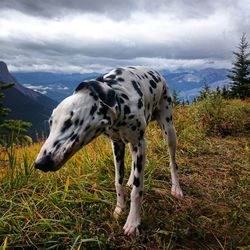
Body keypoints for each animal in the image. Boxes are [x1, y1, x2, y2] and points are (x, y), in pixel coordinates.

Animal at [34, 66, 184, 234]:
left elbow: (137, 189)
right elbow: (118, 181)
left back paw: (176, 188)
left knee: (172, 162)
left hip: (168, 130)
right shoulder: (117, 145)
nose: (40, 163)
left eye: (70, 121)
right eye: (51, 122)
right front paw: (120, 208)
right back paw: (130, 180)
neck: (120, 98)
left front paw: (133, 221)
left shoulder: (140, 144)